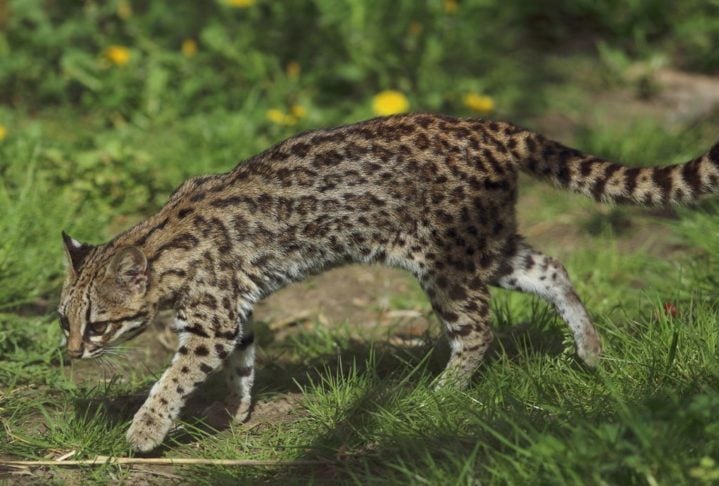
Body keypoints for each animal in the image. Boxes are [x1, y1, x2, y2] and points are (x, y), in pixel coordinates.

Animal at [57, 114, 719, 452]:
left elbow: (172, 378)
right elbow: (243, 361)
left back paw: (444, 392)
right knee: (552, 268)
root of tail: (494, 128)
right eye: (65, 320)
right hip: (489, 246)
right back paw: (590, 348)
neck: (161, 248)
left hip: (445, 261)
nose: (67, 356)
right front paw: (238, 409)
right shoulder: (234, 312)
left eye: (98, 324)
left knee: (479, 328)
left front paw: (145, 429)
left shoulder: (212, 319)